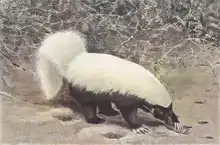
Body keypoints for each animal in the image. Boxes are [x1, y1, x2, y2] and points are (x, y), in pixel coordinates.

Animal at [37, 30, 190, 135]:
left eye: (169, 112)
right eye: (162, 114)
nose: (170, 121)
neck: (146, 85)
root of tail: (73, 62)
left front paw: (179, 123)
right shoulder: (127, 96)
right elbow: (128, 112)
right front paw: (138, 127)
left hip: (100, 89)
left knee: (103, 101)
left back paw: (110, 112)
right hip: (85, 86)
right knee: (88, 104)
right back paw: (95, 119)